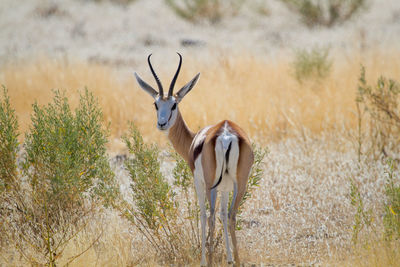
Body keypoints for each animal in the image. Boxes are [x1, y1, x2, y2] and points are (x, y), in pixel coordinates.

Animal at [134, 53, 253, 266]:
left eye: (174, 104)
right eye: (156, 104)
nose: (162, 123)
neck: (193, 140)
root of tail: (226, 134)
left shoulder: (198, 181)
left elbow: (203, 215)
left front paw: (204, 259)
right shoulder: (225, 187)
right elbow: (223, 214)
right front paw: (229, 259)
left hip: (211, 185)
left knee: (211, 216)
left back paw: (211, 260)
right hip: (240, 183)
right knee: (231, 216)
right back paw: (238, 261)